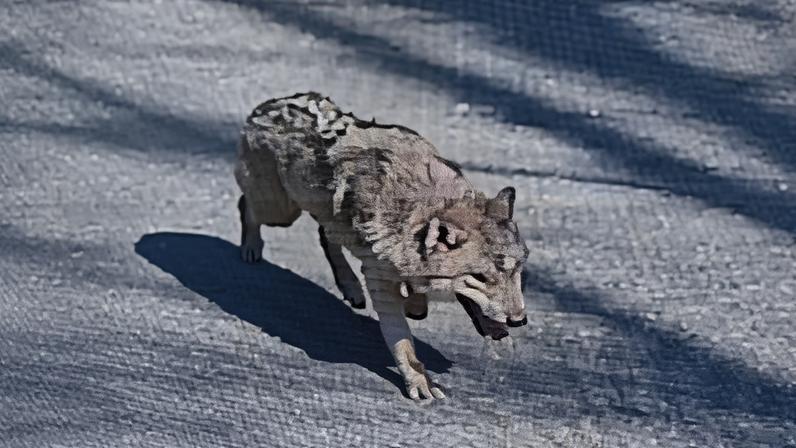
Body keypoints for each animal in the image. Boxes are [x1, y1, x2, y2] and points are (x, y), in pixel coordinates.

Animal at [234, 92, 528, 400]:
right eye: (480, 278)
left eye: (516, 273)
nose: (519, 320)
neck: (422, 209)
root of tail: (266, 105)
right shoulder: (379, 280)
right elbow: (402, 341)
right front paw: (419, 381)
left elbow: (415, 300)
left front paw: (415, 303)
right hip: (280, 212)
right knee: (246, 205)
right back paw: (251, 247)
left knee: (324, 233)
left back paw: (350, 288)